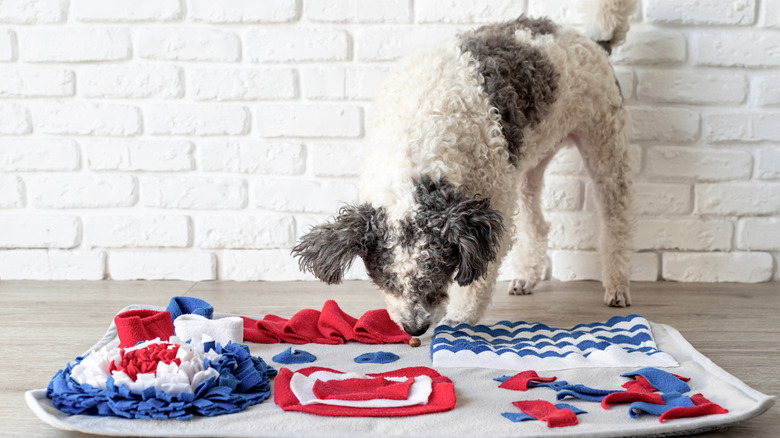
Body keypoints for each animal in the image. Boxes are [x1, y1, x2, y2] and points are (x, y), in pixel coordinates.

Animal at [292, 0, 640, 338]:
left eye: (437, 277)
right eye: (386, 281)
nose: (415, 328)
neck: (418, 138)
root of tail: (593, 40)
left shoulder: (490, 211)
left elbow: (477, 278)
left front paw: (459, 320)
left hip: (605, 143)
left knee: (617, 220)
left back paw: (617, 285)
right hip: (529, 162)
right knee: (537, 223)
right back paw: (527, 277)